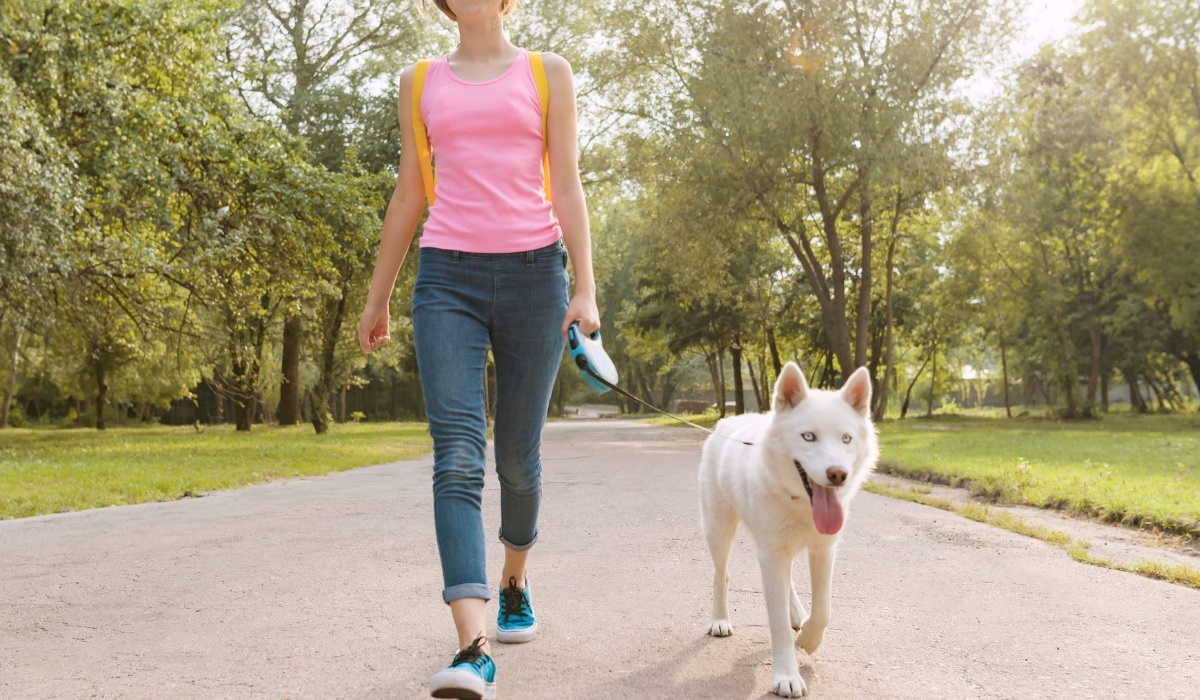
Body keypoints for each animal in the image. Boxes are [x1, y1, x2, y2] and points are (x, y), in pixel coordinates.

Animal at [700, 365, 878, 696]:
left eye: (846, 438)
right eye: (808, 437)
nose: (838, 474)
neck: (800, 503)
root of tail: (727, 421)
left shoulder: (823, 551)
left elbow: (823, 610)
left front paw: (809, 637)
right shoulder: (771, 556)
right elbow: (778, 625)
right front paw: (786, 677)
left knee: (789, 582)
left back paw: (797, 615)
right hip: (718, 530)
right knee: (721, 575)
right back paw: (720, 619)